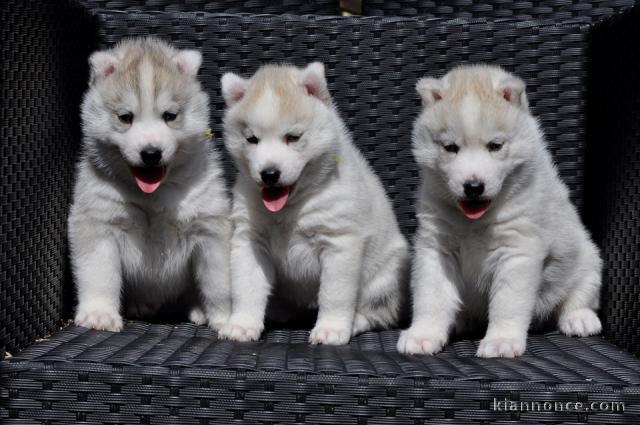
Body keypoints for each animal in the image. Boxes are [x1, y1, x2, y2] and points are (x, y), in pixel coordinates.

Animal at [70, 37, 230, 332]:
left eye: (170, 115)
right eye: (125, 117)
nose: (151, 153)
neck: (153, 196)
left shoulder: (211, 228)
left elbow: (220, 283)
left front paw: (229, 317)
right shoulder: (98, 224)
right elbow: (99, 275)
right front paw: (99, 314)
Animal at [220, 61, 408, 342]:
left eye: (293, 137)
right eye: (251, 139)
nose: (269, 174)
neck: (290, 209)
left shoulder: (339, 242)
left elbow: (334, 294)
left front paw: (330, 328)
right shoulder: (250, 239)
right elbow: (247, 286)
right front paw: (242, 324)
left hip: (384, 278)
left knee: (379, 312)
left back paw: (355, 322)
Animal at [400, 64, 604, 356]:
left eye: (495, 146)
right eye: (450, 147)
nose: (473, 187)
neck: (474, 222)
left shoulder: (518, 250)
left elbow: (508, 301)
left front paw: (501, 341)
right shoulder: (436, 247)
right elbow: (432, 295)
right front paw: (422, 335)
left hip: (587, 259)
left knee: (580, 294)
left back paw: (580, 318)